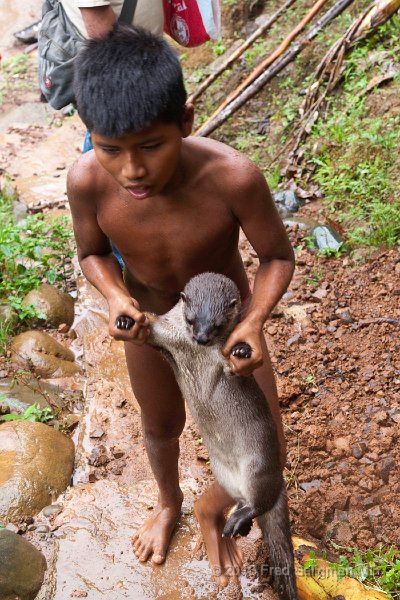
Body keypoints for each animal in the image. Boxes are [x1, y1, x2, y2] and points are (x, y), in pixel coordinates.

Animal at [115, 274, 296, 600]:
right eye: (191, 320)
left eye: (219, 325)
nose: (200, 338)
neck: (193, 349)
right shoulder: (167, 332)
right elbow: (150, 325)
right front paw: (126, 319)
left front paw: (242, 352)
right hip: (223, 473)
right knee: (240, 500)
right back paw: (238, 525)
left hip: (259, 465)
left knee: (260, 501)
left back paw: (239, 520)